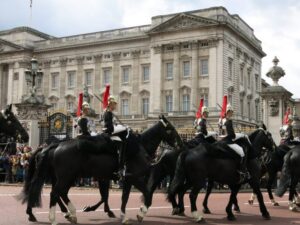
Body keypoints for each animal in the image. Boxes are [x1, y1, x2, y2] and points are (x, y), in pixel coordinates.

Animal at [19, 116, 179, 225]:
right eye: (170, 129)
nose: (180, 143)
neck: (139, 147)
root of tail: (55, 145)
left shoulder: (123, 179)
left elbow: (120, 197)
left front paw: (122, 215)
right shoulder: (133, 177)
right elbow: (147, 194)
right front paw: (140, 214)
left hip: (68, 177)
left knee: (60, 193)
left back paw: (70, 214)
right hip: (66, 176)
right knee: (54, 193)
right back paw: (53, 218)